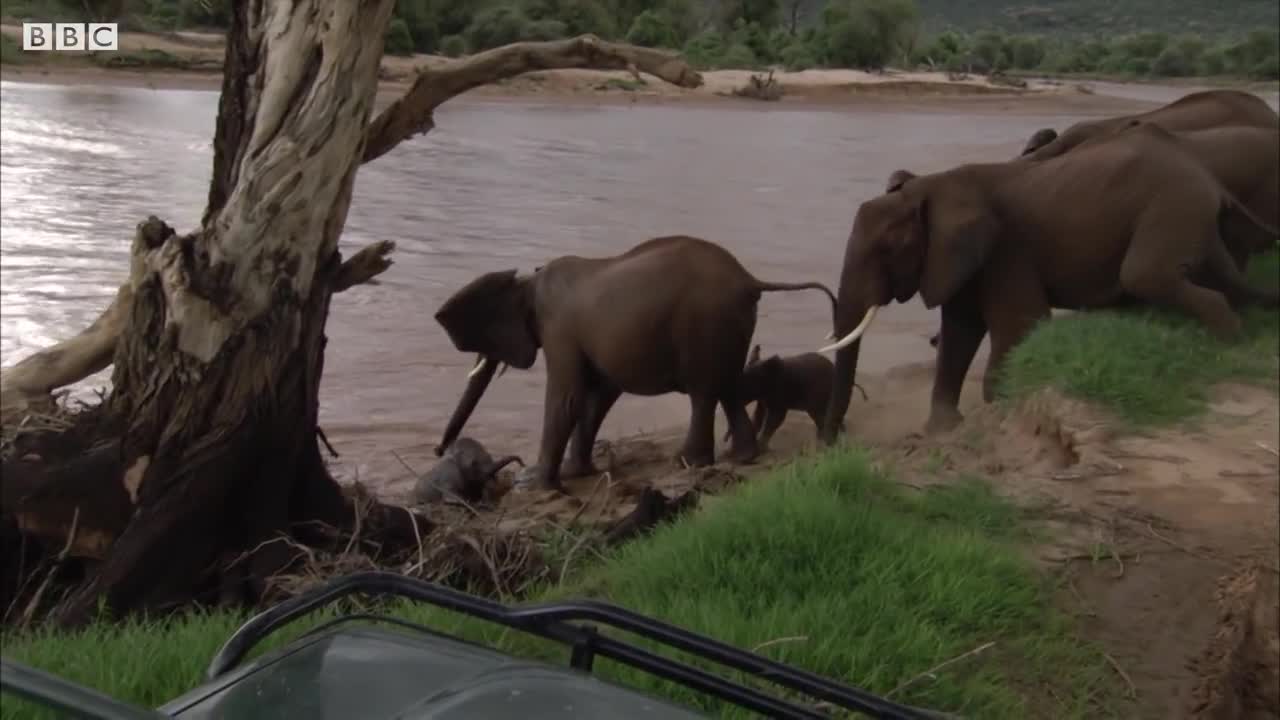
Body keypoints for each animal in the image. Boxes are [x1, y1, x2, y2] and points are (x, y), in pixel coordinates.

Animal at [430, 233, 839, 489]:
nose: (438, 451)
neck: (527, 282)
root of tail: (749, 279)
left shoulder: (559, 329)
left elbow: (568, 398)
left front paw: (534, 484)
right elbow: (597, 397)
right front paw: (577, 472)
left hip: (704, 323)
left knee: (704, 392)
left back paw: (688, 463)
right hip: (729, 326)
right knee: (728, 386)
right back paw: (740, 458)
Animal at [819, 121, 1280, 438]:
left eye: (887, 249)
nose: (832, 440)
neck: (934, 185)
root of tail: (1210, 180)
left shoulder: (1005, 250)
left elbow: (1019, 322)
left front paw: (998, 406)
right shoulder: (962, 259)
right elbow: (959, 332)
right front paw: (944, 430)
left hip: (1171, 207)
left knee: (1147, 276)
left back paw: (1225, 349)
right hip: (1190, 216)